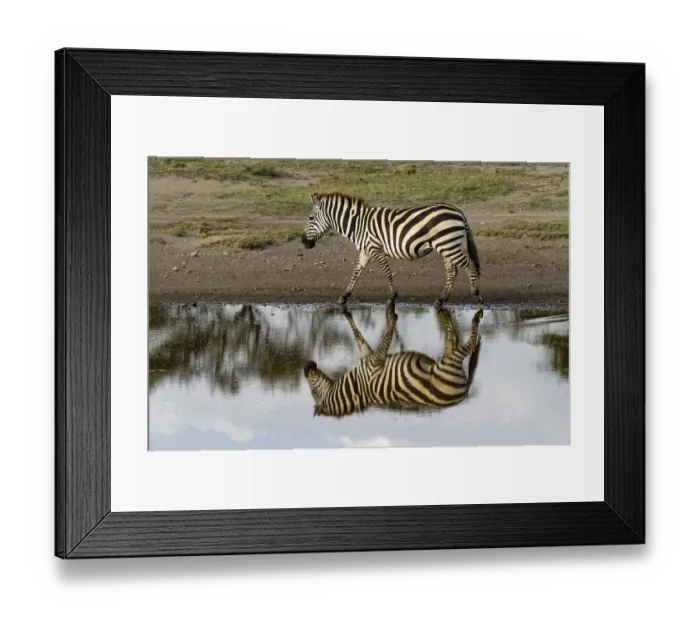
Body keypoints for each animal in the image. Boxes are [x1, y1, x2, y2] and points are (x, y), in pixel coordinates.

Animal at [300, 192, 483, 308]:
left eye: (310, 218)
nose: (304, 242)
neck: (357, 224)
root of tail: (458, 211)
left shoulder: (375, 249)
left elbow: (386, 271)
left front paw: (392, 297)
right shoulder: (365, 251)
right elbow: (356, 273)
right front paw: (344, 296)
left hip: (448, 245)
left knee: (469, 265)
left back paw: (477, 294)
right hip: (447, 246)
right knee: (452, 271)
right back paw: (441, 299)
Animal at [302, 302, 483, 418]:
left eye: (313, 391)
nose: (306, 366)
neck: (357, 386)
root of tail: (464, 393)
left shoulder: (373, 360)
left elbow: (375, 336)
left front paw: (392, 314)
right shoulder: (370, 358)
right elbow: (362, 336)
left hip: (449, 364)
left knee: (465, 343)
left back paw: (474, 319)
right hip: (449, 362)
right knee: (459, 341)